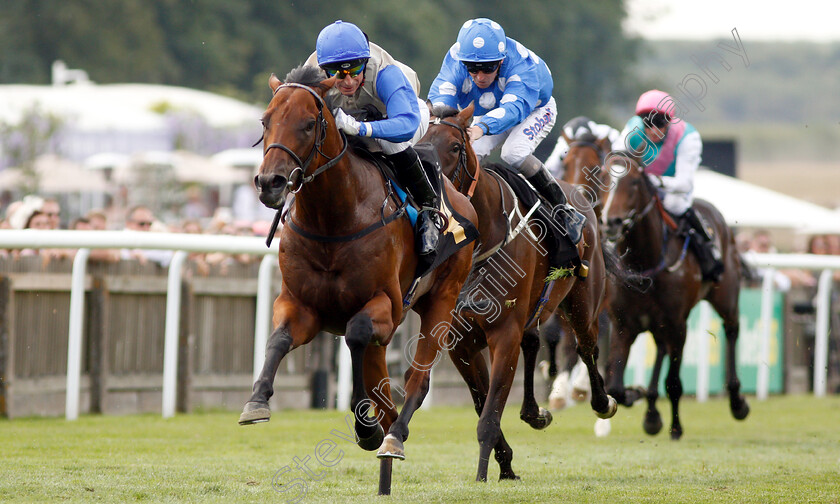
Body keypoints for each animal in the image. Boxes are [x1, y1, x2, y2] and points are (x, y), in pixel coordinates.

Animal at [241, 67, 480, 492]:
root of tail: (460, 198)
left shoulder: (386, 306)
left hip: (442, 300)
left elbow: (356, 333)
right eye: (265, 121)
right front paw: (257, 401)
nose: (270, 183)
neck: (333, 219)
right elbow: (279, 340)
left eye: (308, 124)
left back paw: (393, 436)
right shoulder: (301, 306)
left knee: (417, 379)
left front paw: (364, 425)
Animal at [426, 103, 616, 480]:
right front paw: (506, 464)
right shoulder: (461, 341)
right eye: (422, 143)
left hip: (582, 301)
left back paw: (601, 402)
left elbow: (489, 415)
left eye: (454, 147)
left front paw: (483, 475)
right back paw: (534, 412)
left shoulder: (503, 333)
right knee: (533, 342)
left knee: (587, 347)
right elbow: (484, 403)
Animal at [600, 152, 752, 440]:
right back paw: (651, 413)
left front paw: (676, 428)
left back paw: (737, 401)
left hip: (725, 297)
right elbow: (615, 386)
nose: (611, 222)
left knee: (732, 330)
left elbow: (673, 382)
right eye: (602, 177)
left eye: (633, 182)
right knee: (661, 348)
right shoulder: (623, 325)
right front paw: (637, 395)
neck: (644, 265)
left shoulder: (678, 324)